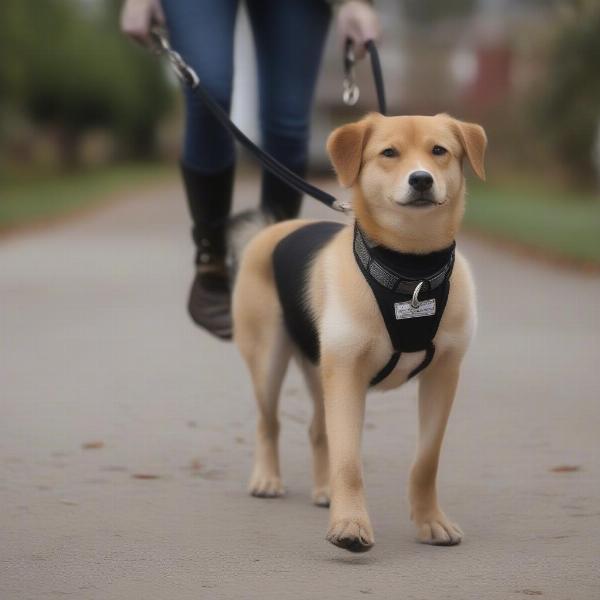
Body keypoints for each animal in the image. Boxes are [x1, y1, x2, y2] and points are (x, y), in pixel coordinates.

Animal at [232, 111, 486, 552]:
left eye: (439, 150)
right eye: (389, 153)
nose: (421, 179)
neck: (411, 272)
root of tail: (272, 230)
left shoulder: (443, 375)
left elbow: (426, 460)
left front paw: (430, 521)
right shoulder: (347, 374)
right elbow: (348, 459)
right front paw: (350, 525)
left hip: (320, 369)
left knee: (318, 430)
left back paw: (323, 491)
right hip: (270, 358)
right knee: (269, 422)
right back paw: (267, 479)